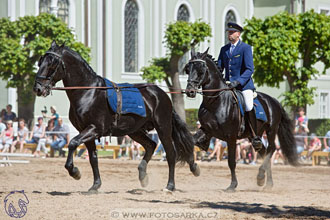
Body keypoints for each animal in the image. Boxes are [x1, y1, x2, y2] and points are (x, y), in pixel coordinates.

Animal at [34, 41, 199, 192]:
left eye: (52, 63)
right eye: (41, 61)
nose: (38, 88)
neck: (88, 92)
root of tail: (161, 94)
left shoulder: (94, 129)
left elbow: (73, 143)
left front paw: (75, 172)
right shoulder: (86, 131)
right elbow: (93, 158)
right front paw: (95, 185)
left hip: (163, 128)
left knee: (171, 154)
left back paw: (170, 186)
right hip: (134, 131)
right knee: (151, 145)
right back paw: (143, 175)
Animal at [184, 47, 298, 191]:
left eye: (201, 70)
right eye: (187, 69)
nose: (190, 91)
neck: (215, 101)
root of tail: (273, 100)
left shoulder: (231, 137)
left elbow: (231, 162)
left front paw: (232, 185)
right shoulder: (206, 130)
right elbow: (190, 143)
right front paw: (195, 169)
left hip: (271, 130)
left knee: (271, 149)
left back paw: (261, 176)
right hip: (254, 135)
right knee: (263, 151)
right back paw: (266, 182)